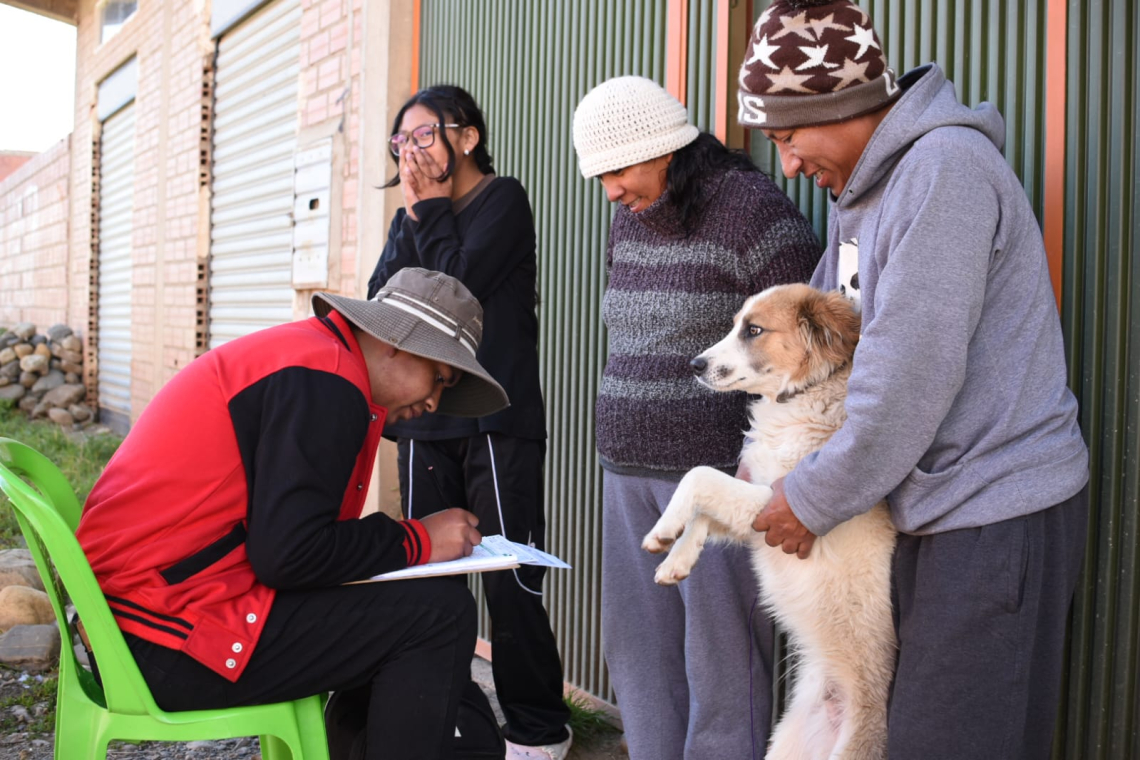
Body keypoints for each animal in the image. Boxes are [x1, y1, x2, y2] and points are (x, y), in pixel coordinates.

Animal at [647, 283, 893, 760]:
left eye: (754, 330)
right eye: (735, 325)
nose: (695, 365)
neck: (802, 396)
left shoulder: (777, 505)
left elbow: (698, 476)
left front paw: (662, 531)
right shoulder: (755, 514)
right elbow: (703, 511)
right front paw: (677, 561)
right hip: (785, 745)